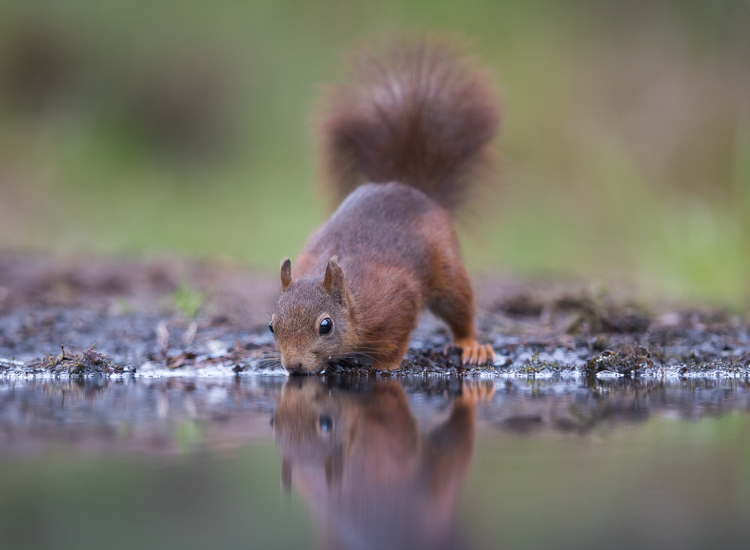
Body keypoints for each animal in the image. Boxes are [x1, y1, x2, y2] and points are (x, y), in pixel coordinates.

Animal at [270, 37, 500, 376]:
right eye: (272, 326)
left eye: (325, 326)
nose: (294, 367)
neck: (354, 301)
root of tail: (411, 189)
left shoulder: (397, 301)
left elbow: (396, 340)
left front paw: (384, 365)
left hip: (447, 270)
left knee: (461, 309)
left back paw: (471, 345)